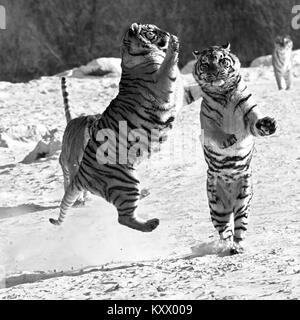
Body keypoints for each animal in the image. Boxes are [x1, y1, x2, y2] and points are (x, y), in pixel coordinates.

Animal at [50, 22, 184, 232]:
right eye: (152, 31)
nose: (168, 34)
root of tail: (81, 174)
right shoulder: (161, 82)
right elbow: (168, 67)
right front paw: (174, 46)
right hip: (126, 182)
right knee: (124, 218)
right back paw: (151, 224)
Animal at [192, 43, 276, 252]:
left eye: (222, 61)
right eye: (205, 64)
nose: (214, 72)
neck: (224, 94)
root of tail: (230, 201)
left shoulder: (248, 112)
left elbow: (256, 121)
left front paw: (268, 125)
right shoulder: (207, 122)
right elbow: (215, 132)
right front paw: (228, 140)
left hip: (243, 200)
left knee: (239, 226)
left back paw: (238, 247)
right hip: (217, 207)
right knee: (225, 231)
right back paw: (227, 246)